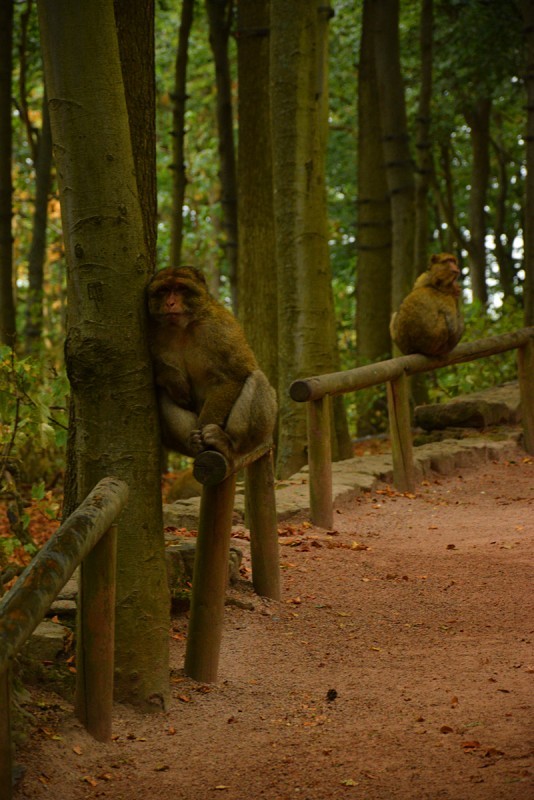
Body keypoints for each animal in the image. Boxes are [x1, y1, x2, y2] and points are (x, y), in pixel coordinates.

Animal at [149, 266, 278, 462]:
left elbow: (233, 376)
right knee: (162, 391)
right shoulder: (153, 329)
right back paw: (192, 443)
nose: (170, 303)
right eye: (163, 290)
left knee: (257, 378)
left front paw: (204, 433)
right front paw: (173, 379)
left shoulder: (219, 328)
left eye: (181, 288)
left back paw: (228, 444)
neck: (183, 328)